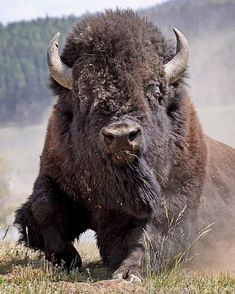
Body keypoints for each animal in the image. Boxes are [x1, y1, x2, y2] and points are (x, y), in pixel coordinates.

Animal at [14, 10, 235, 282]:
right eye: (82, 94)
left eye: (155, 90)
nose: (121, 136)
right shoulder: (53, 176)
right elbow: (43, 209)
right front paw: (69, 259)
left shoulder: (169, 203)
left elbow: (147, 236)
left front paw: (128, 273)